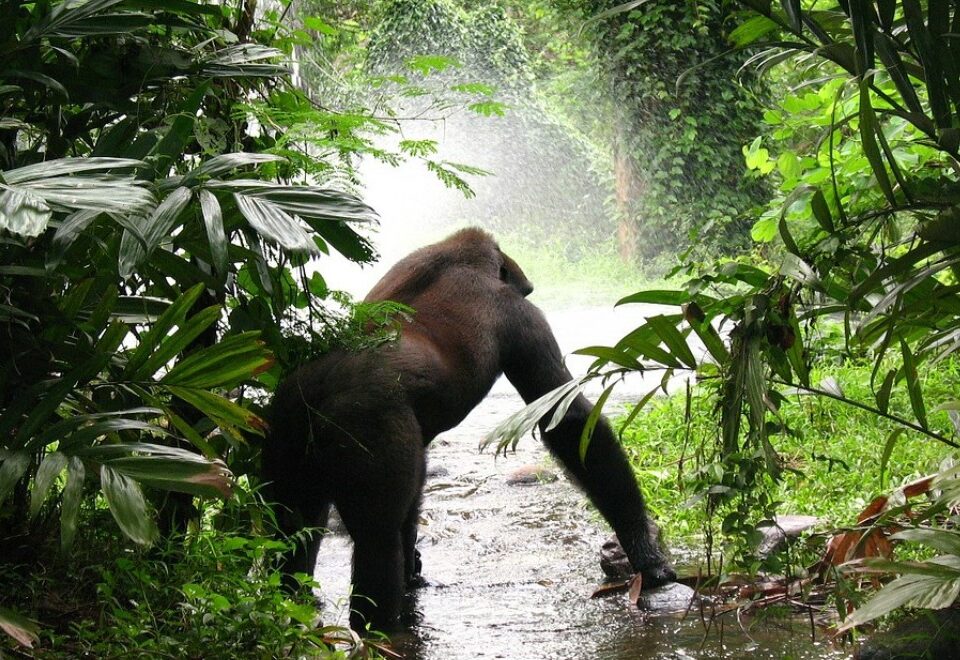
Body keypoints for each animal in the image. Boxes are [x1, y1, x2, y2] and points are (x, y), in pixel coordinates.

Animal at [263, 228, 675, 631]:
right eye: (525, 291)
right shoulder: (521, 316)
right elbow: (569, 421)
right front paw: (644, 551)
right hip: (363, 425)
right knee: (376, 541)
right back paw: (380, 630)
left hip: (282, 427)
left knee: (292, 528)